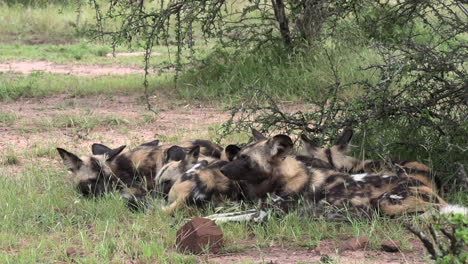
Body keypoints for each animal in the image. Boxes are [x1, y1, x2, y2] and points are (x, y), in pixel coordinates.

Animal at [218, 130, 460, 217]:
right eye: (239, 154)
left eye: (245, 158)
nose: (221, 168)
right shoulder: (259, 210)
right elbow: (218, 216)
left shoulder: (267, 214)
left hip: (387, 202)